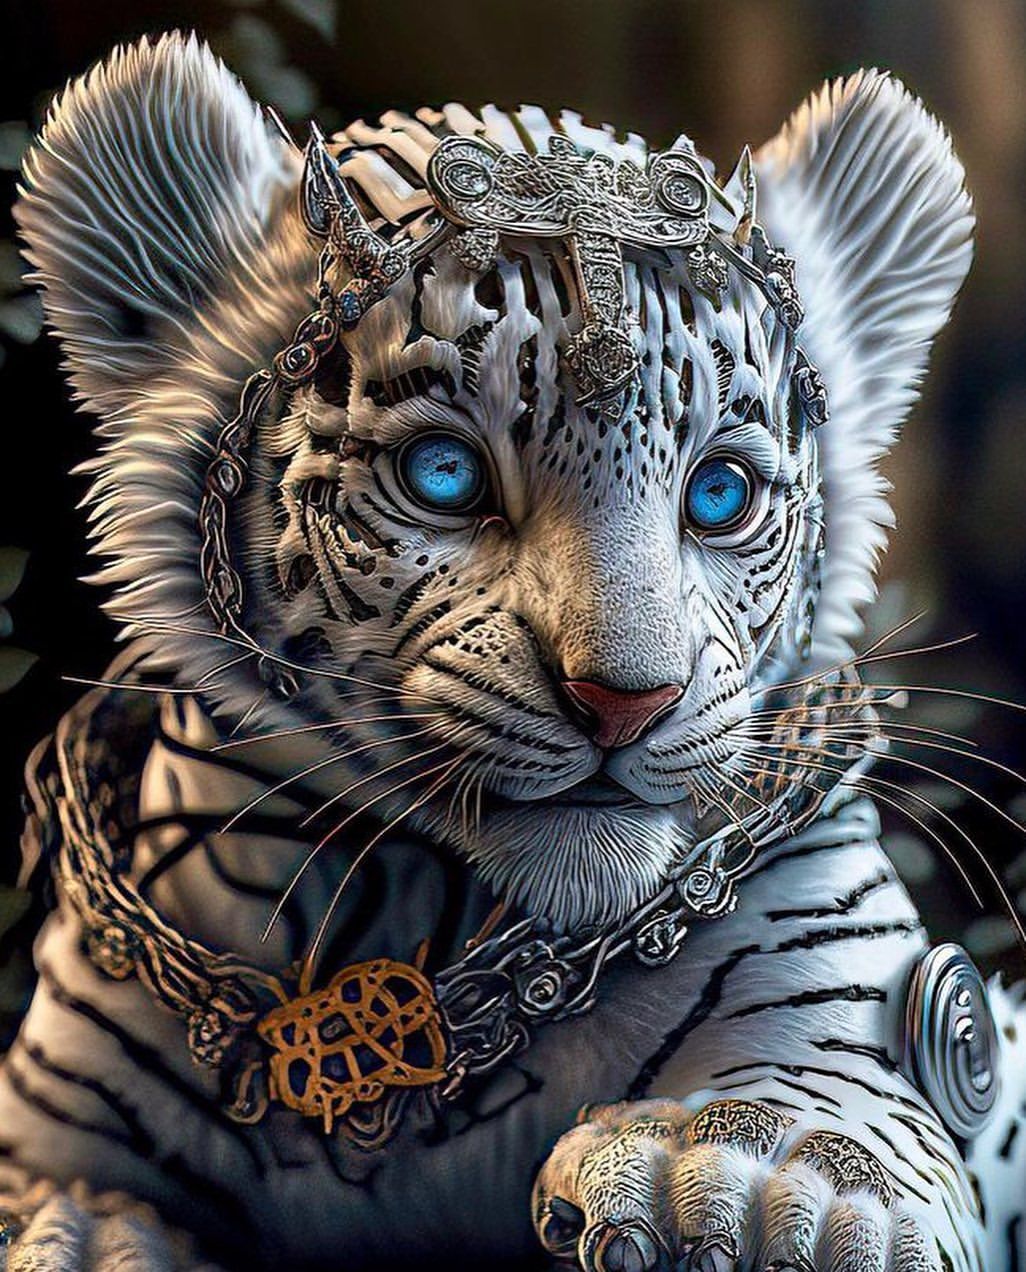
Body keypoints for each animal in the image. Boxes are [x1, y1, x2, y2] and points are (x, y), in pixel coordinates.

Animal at [1, 29, 1024, 1272]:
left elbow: (833, 1114)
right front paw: (81, 1238)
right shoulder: (63, 1115)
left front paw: (748, 1186)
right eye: (443, 474)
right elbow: (72, 1191)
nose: (625, 701)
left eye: (719, 494)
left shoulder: (838, 984)